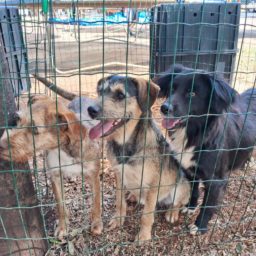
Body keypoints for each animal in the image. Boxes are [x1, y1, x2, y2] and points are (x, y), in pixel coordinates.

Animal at [0, 95, 102, 238]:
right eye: (18, 119)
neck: (63, 149)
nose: (0, 145)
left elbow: (96, 201)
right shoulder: (55, 176)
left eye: (35, 129)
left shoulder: (94, 176)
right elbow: (60, 204)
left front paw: (97, 224)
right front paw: (63, 226)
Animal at [88, 75, 190, 243]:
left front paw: (143, 236)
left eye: (120, 95)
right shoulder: (119, 174)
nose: (90, 110)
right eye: (99, 91)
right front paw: (118, 220)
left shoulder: (154, 184)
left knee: (179, 202)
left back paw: (172, 212)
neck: (126, 142)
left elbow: (146, 215)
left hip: (181, 186)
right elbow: (119, 202)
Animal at [154, 64, 256, 234]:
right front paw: (190, 207)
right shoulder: (189, 169)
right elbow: (194, 191)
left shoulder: (216, 181)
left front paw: (200, 226)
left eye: (192, 93)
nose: (164, 108)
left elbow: (208, 205)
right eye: (172, 89)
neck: (196, 134)